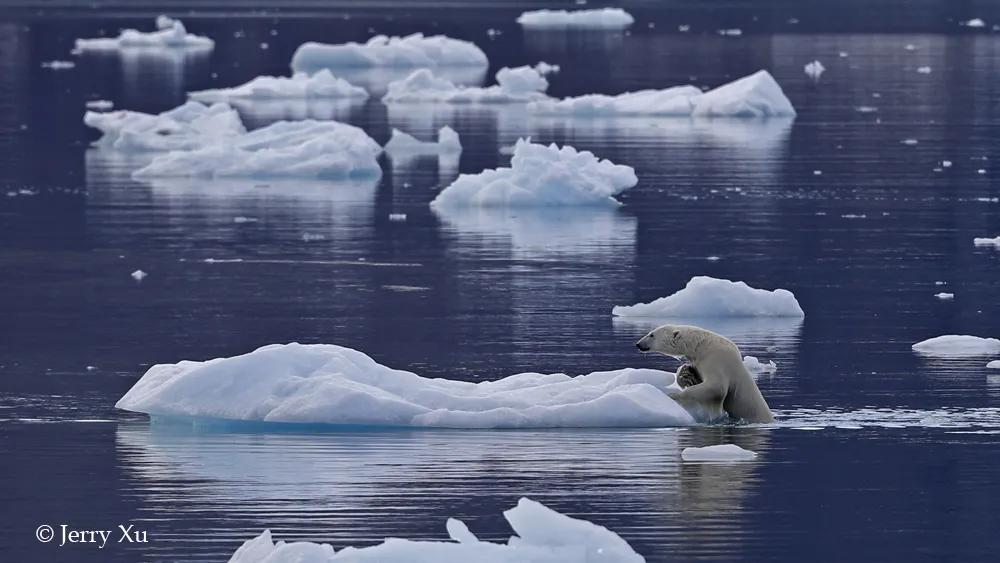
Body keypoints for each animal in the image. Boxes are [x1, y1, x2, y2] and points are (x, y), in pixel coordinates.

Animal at [636, 324, 776, 426]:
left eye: (651, 334)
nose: (638, 344)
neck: (702, 345)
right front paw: (686, 374)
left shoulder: (716, 360)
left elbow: (717, 387)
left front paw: (673, 395)